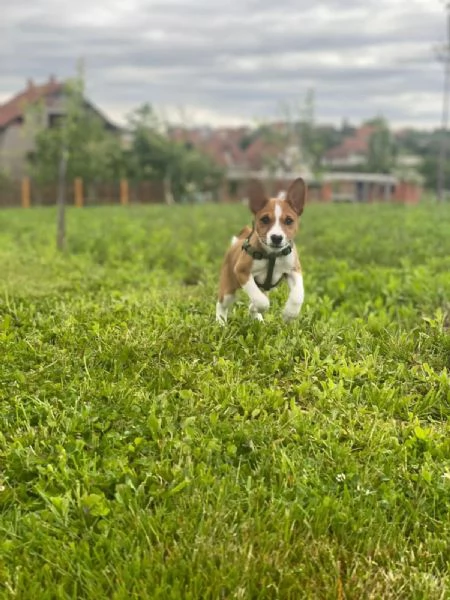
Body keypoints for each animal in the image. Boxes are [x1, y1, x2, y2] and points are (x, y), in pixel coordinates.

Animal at [215, 177, 306, 324]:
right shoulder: (242, 271)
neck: (272, 255)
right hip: (229, 288)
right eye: (265, 219)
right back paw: (221, 322)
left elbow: (298, 295)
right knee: (221, 304)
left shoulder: (294, 270)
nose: (276, 237)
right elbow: (261, 301)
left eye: (288, 221)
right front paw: (260, 306)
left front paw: (290, 314)